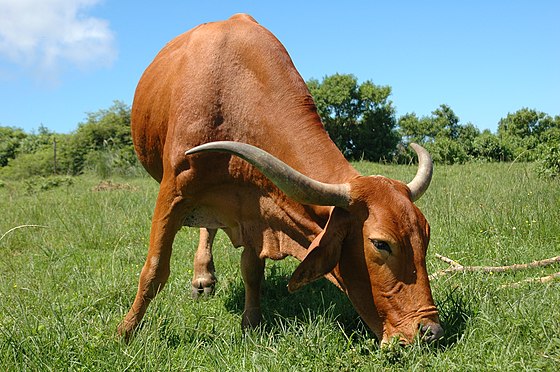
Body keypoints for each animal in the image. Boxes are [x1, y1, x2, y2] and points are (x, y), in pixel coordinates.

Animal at [118, 13, 442, 344]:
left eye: (426, 236)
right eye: (380, 244)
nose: (431, 331)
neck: (235, 96)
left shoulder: (255, 207)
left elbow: (251, 269)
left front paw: (251, 322)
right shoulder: (173, 191)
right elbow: (154, 271)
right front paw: (125, 331)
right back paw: (200, 280)